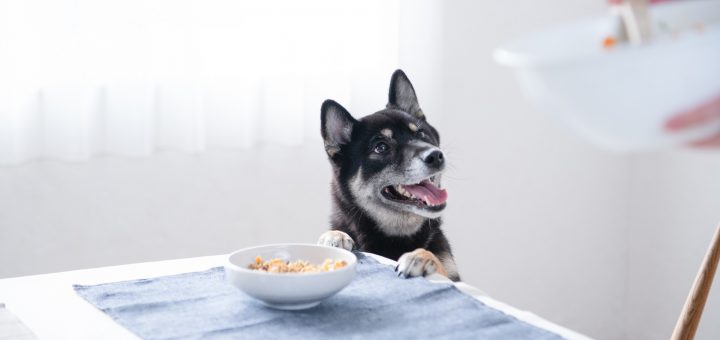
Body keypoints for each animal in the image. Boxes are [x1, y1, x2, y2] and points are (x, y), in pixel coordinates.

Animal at [316, 69, 462, 282]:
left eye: (421, 133)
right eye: (381, 147)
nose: (436, 155)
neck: (396, 236)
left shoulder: (453, 275)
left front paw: (421, 256)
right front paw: (334, 236)